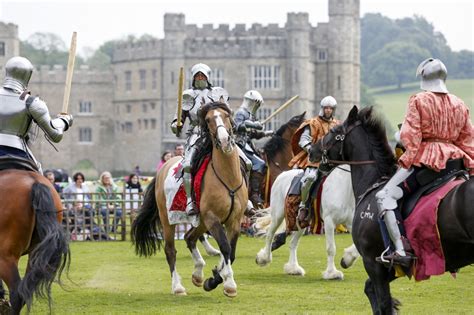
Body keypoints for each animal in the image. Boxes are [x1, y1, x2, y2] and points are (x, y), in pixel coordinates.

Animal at [131, 102, 248, 298]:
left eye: (226, 115)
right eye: (208, 120)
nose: (225, 140)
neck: (227, 178)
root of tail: (164, 168)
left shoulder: (234, 221)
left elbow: (230, 253)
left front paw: (215, 278)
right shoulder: (213, 219)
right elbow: (225, 248)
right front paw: (229, 283)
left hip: (200, 222)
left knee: (189, 237)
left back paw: (198, 274)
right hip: (168, 219)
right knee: (170, 250)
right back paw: (177, 287)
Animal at [312, 105, 474, 314]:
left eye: (333, 131)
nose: (311, 150)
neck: (373, 183)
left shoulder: (372, 262)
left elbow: (383, 303)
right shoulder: (393, 265)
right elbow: (371, 289)